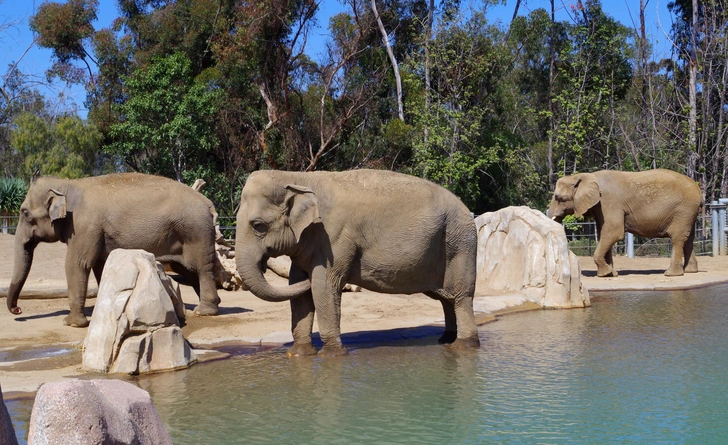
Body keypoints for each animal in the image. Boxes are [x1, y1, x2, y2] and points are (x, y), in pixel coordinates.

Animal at [7, 173, 220, 326]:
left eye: (25, 213)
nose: (18, 311)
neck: (68, 184)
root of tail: (208, 203)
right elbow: (101, 266)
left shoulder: (85, 226)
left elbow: (77, 264)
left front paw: (72, 323)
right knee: (189, 270)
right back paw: (210, 305)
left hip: (196, 232)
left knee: (202, 268)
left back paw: (204, 311)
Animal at [236, 168, 480, 356]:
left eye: (258, 226)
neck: (297, 177)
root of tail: (467, 210)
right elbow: (298, 289)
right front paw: (299, 354)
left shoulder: (333, 238)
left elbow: (324, 285)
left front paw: (332, 355)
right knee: (446, 299)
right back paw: (446, 339)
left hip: (460, 244)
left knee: (461, 297)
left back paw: (463, 346)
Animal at [548, 170, 704, 278]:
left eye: (558, 198)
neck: (587, 176)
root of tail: (699, 191)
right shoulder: (600, 207)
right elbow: (604, 232)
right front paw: (610, 274)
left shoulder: (609, 202)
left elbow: (613, 233)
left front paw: (605, 273)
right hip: (689, 212)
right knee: (688, 239)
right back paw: (690, 271)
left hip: (683, 210)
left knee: (677, 238)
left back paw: (671, 274)